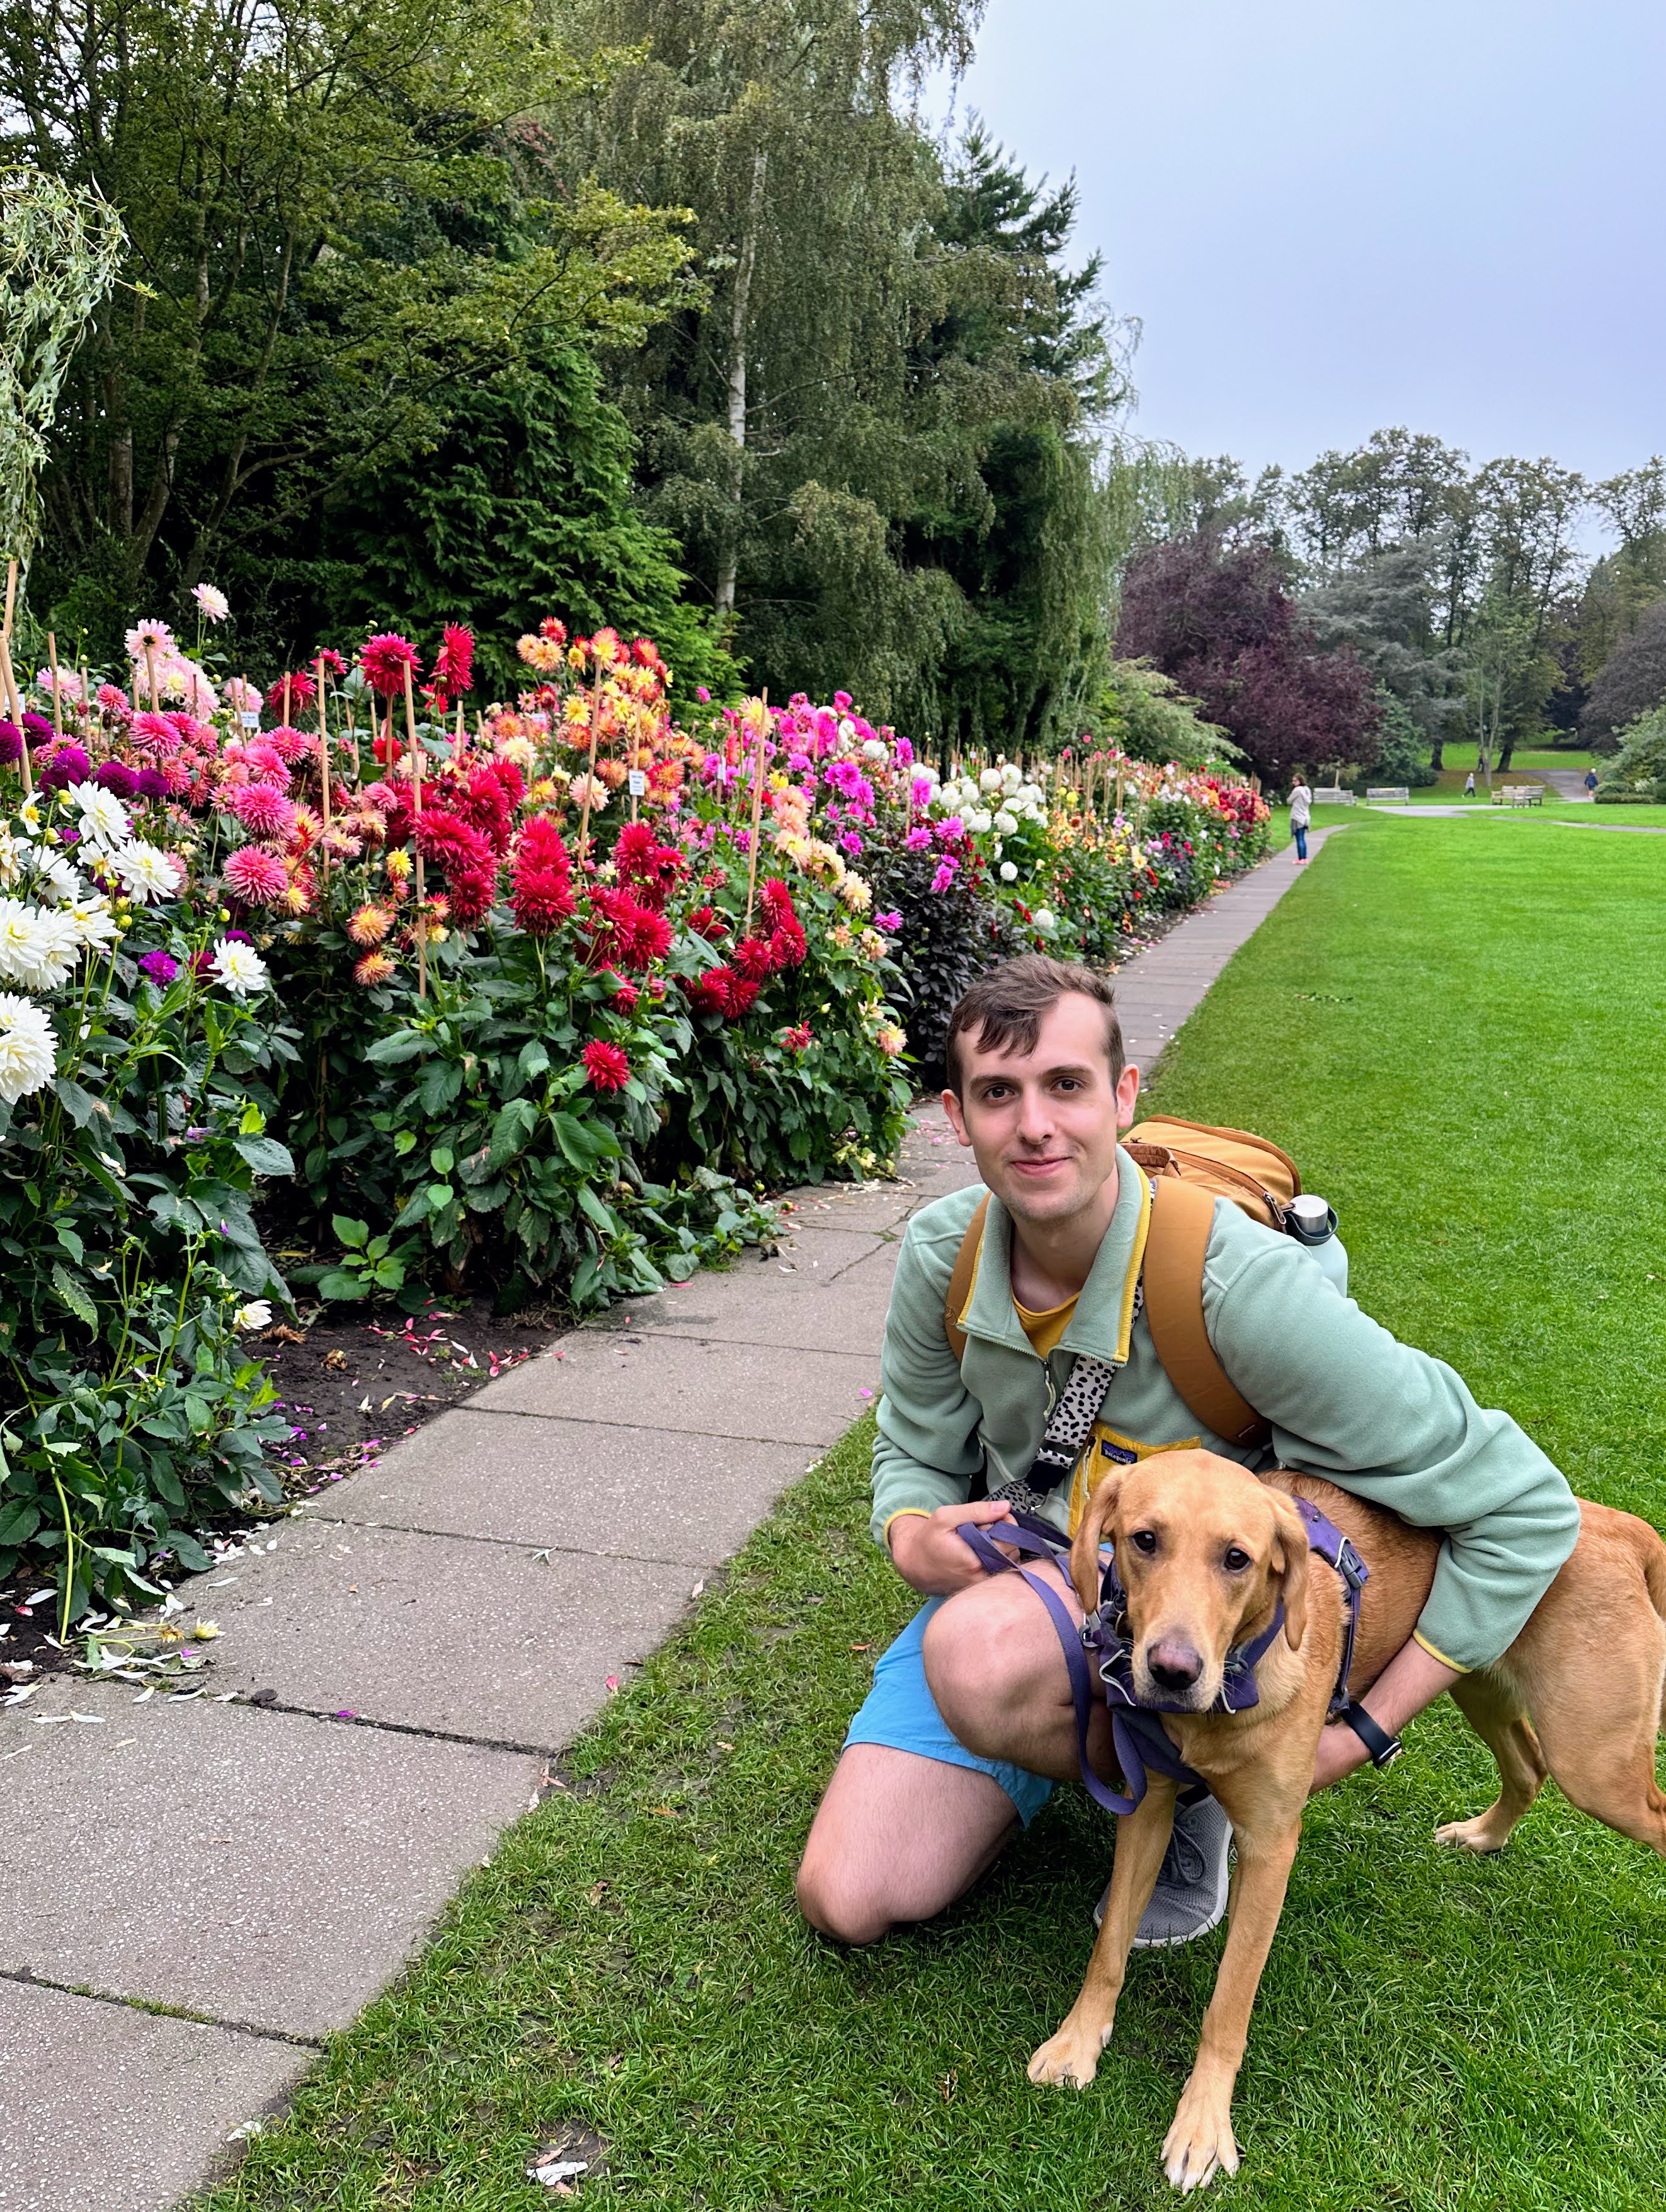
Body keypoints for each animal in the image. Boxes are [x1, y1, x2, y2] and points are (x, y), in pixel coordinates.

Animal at [1026, 1451, 1663, 2194]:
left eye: (1236, 1558)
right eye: (1144, 1540)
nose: (1171, 1671)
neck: (1236, 1678)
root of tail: (1618, 1525)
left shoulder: (1271, 1846)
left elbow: (1227, 2006)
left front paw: (1202, 2126)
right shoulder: (1148, 1805)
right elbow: (1108, 1952)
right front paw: (1077, 2043)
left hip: (1596, 1768)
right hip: (1480, 1684)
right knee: (1527, 1766)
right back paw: (1481, 1836)